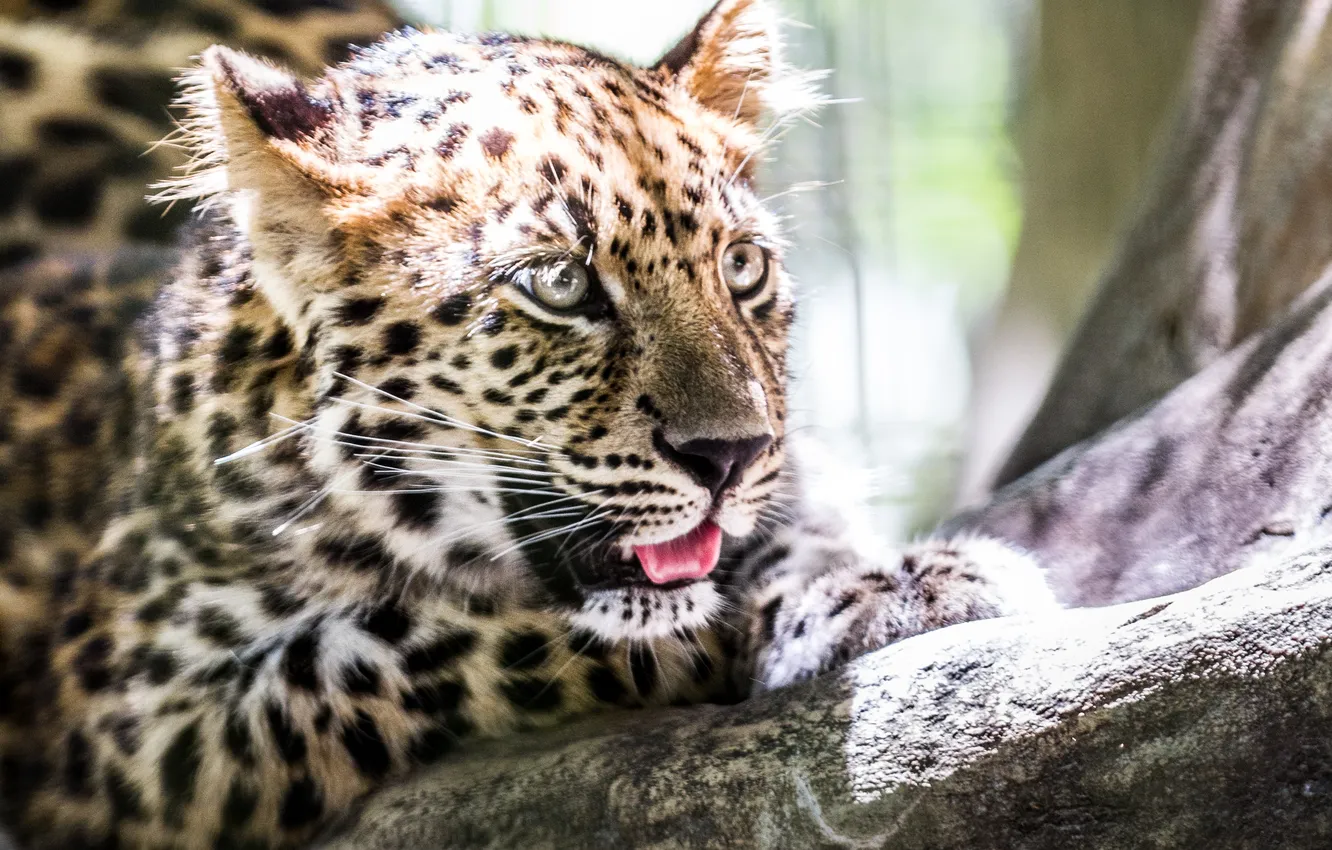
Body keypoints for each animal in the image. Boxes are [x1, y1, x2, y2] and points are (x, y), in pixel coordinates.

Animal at [0, 1, 1058, 847]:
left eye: (742, 266)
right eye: (559, 285)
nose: (732, 454)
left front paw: (884, 580)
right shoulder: (130, 744)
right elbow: (415, 651)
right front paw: (755, 626)